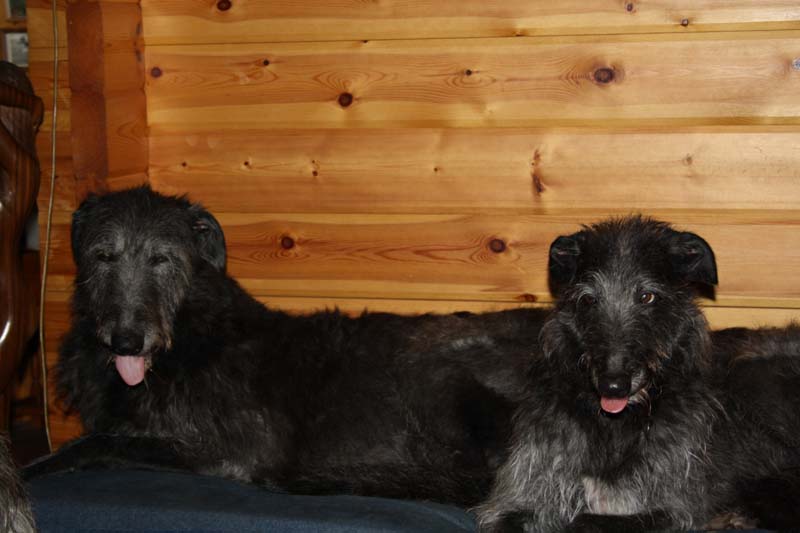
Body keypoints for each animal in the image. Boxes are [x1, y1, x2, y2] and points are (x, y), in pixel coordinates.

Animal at [24, 185, 547, 507]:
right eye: (103, 256)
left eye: (162, 259)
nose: (127, 340)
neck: (187, 337)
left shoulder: (230, 448)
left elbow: (101, 442)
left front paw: (31, 471)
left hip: (435, 373)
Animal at [475, 216, 800, 532]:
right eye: (588, 299)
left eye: (647, 296)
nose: (613, 386)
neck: (615, 426)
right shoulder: (523, 493)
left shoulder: (675, 508)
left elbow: (586, 521)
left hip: (751, 378)